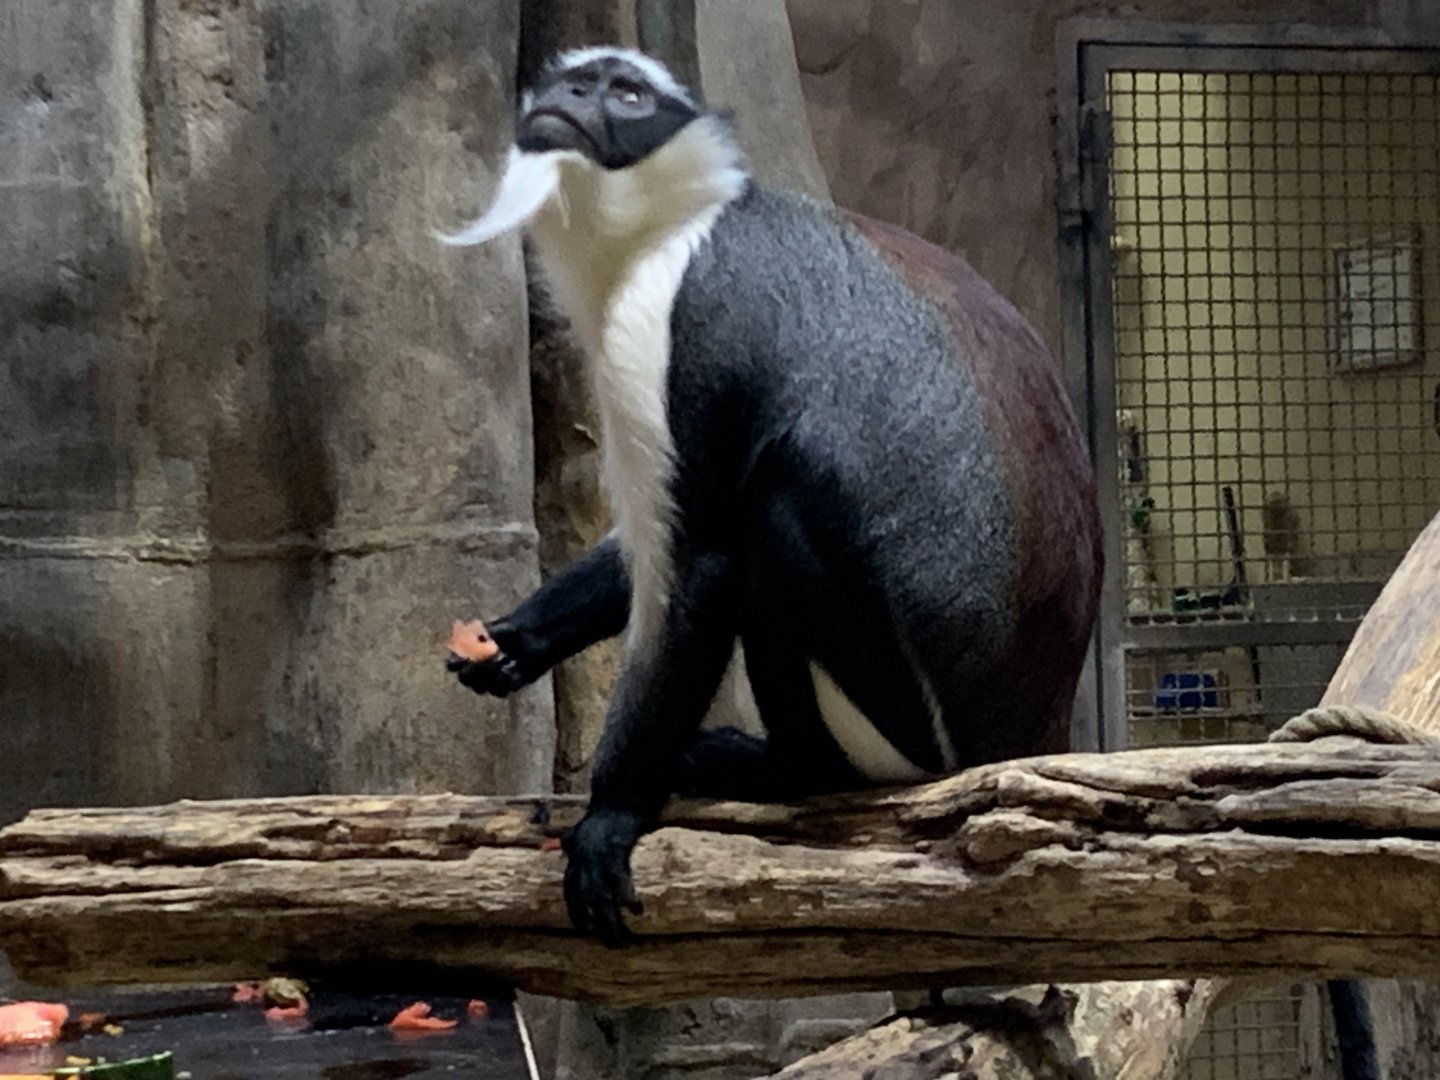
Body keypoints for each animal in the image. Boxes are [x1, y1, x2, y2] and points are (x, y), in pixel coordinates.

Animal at [439, 47, 1103, 946]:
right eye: (567, 80)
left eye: (627, 93)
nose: (567, 97)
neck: (676, 219)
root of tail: (1029, 735)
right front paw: (516, 640)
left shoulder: (669, 324)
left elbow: (698, 560)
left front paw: (611, 816)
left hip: (893, 723)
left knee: (765, 524)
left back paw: (791, 769)